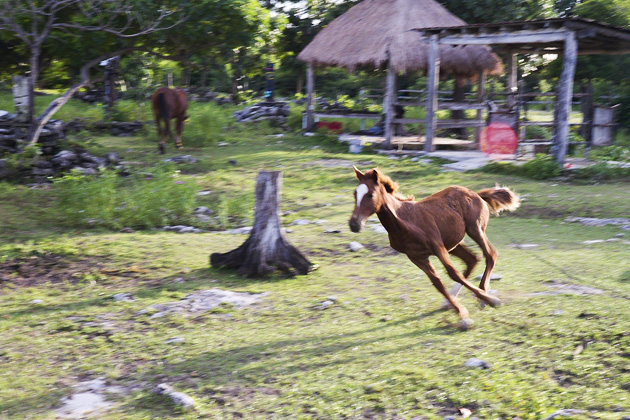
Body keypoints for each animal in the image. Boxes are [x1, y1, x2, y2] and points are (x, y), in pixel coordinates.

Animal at [348, 167, 520, 328]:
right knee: (472, 259)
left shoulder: (437, 246)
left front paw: (491, 301)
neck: (403, 221)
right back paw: (454, 300)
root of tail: (476, 194)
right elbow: (437, 282)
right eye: (355, 194)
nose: (354, 224)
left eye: (370, 195)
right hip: (453, 243)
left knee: (490, 254)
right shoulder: (416, 256)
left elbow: (453, 273)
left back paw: (483, 295)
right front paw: (460, 312)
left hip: (474, 229)